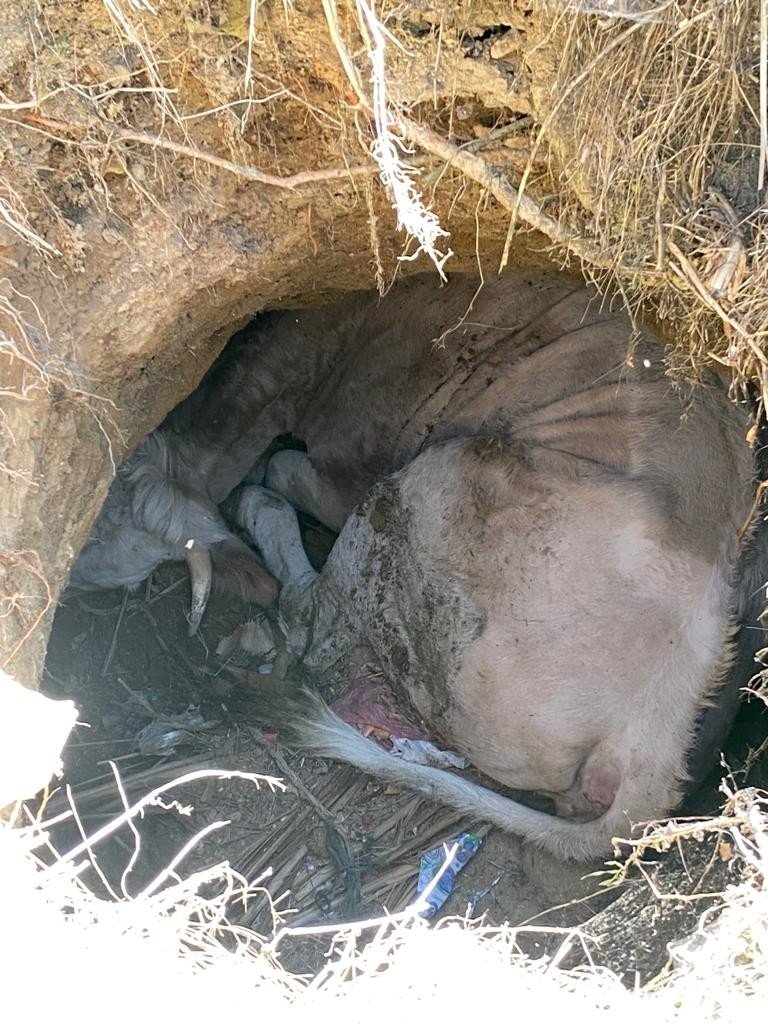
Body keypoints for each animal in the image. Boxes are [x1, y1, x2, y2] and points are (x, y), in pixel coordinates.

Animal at [69, 270, 765, 856]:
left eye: (99, 544)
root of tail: (658, 728)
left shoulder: (347, 469)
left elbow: (281, 468)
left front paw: (257, 486)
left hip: (424, 491)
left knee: (313, 618)